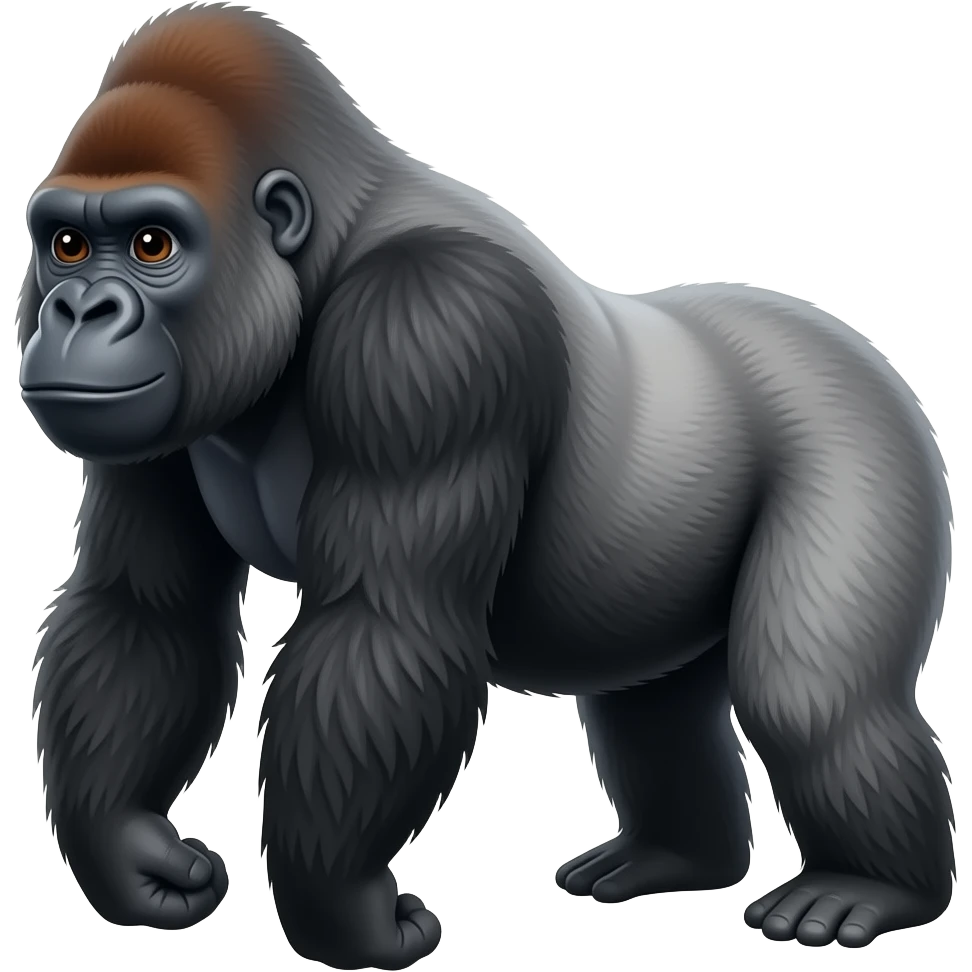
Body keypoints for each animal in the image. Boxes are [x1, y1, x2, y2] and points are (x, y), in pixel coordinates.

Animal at [17, 3, 955, 969]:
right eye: (67, 244)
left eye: (154, 243)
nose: (78, 310)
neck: (323, 252)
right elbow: (144, 610)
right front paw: (124, 850)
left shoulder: (429, 324)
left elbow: (384, 627)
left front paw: (342, 912)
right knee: (654, 708)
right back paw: (677, 856)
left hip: (863, 431)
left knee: (811, 701)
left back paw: (873, 886)